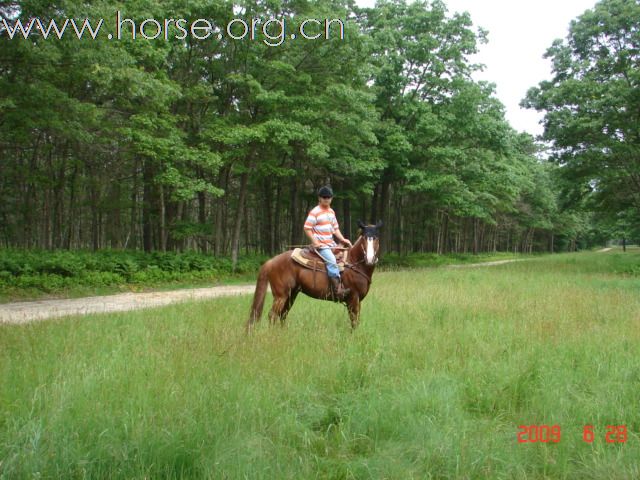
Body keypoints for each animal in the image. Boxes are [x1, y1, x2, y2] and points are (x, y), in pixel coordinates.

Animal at [248, 220, 380, 330]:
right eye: (364, 238)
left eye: (376, 238)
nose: (369, 259)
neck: (353, 262)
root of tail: (271, 262)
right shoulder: (353, 298)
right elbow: (354, 321)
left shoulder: (357, 300)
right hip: (281, 296)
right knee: (272, 315)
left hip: (291, 294)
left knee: (283, 314)